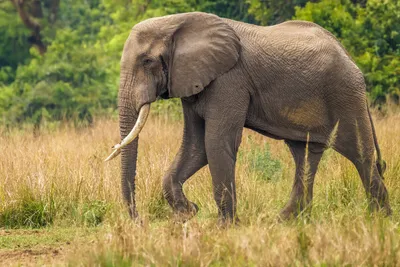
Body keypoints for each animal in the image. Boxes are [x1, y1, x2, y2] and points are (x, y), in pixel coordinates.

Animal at [104, 11, 392, 223]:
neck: (177, 22)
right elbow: (196, 148)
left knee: (360, 154)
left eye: (148, 61)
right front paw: (188, 213)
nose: (139, 221)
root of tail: (349, 58)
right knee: (305, 155)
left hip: (345, 94)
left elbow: (215, 143)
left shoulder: (229, 80)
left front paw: (224, 227)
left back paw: (379, 221)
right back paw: (286, 221)